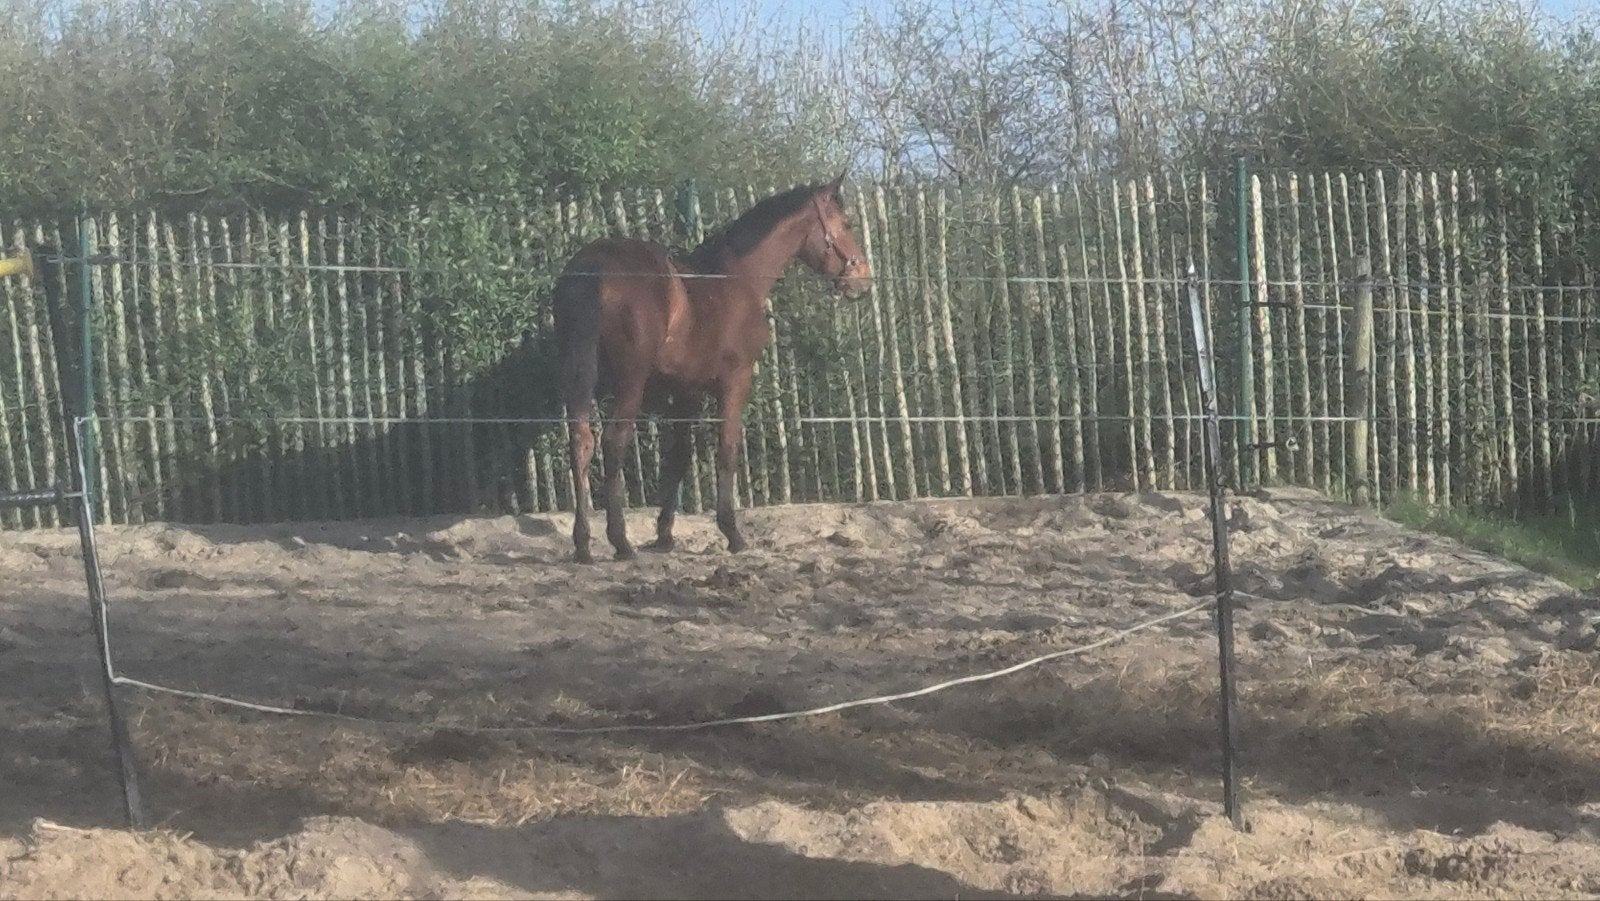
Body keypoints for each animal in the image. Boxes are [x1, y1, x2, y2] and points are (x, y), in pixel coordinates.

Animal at [551, 174, 872, 563]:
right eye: (847, 223)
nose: (861, 278)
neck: (736, 278)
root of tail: (592, 268)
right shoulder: (735, 381)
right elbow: (727, 450)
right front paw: (732, 532)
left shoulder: (685, 392)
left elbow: (678, 458)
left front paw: (664, 535)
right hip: (630, 382)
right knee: (613, 443)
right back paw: (620, 541)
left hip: (579, 376)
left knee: (581, 442)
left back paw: (583, 542)